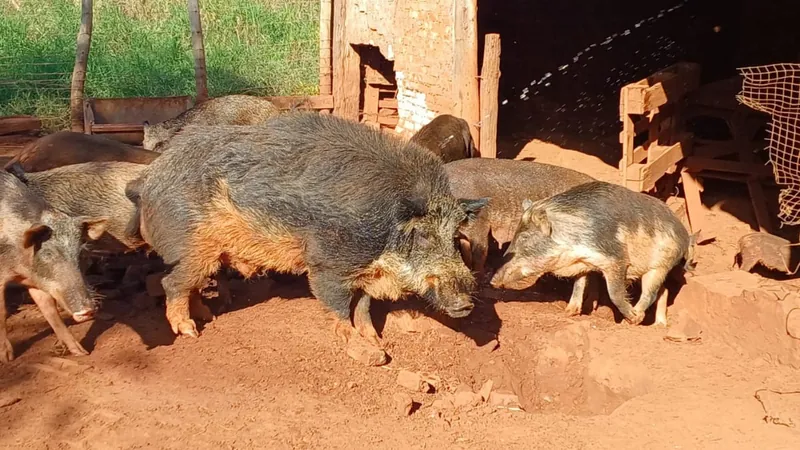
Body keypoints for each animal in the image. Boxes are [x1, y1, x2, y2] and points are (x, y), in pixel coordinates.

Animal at [0, 171, 108, 360]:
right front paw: (7, 359)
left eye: (81, 253)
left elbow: (50, 310)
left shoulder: (37, 280)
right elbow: (1, 313)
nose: (88, 310)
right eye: (48, 253)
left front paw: (81, 352)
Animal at [131, 111, 488, 344]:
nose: (467, 303)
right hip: (189, 246)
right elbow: (338, 306)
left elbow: (363, 307)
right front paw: (360, 348)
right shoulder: (328, 264)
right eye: (423, 235)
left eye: (454, 236)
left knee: (189, 286)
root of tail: (150, 178)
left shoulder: (364, 273)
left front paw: (376, 343)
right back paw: (190, 332)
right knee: (172, 283)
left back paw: (208, 318)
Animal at [488, 181, 692, 326]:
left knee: (651, 292)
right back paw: (659, 325)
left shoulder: (615, 257)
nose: (492, 280)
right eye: (515, 235)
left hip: (660, 265)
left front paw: (632, 319)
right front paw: (569, 312)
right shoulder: (583, 262)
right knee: (664, 290)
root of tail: (685, 234)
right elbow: (579, 284)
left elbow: (614, 292)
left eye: (524, 238)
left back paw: (639, 318)